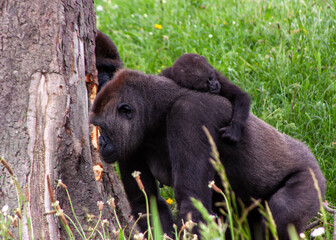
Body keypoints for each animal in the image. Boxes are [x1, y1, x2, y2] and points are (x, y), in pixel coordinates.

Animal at [90, 68, 326, 239]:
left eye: (102, 127)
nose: (100, 142)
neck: (158, 110)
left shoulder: (188, 114)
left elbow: (191, 199)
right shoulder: (131, 141)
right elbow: (146, 201)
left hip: (312, 177)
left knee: (281, 212)